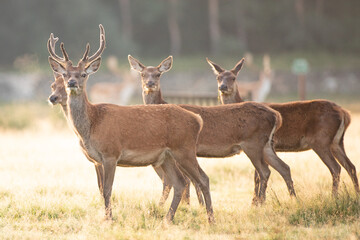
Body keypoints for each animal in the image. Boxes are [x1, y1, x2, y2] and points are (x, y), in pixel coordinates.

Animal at [47, 24, 214, 223]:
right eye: (64, 74)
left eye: (83, 74)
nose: (72, 83)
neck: (92, 125)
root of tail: (197, 119)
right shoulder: (96, 160)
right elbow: (101, 189)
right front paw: (106, 217)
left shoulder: (111, 153)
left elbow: (108, 189)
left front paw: (109, 219)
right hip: (167, 156)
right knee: (180, 183)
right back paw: (167, 219)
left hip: (184, 149)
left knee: (202, 179)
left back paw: (210, 219)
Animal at [128, 54, 296, 204]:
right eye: (142, 74)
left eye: (158, 74)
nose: (150, 83)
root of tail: (276, 115)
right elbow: (191, 181)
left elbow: (185, 181)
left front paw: (188, 206)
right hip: (266, 145)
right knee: (284, 167)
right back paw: (293, 200)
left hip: (253, 143)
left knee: (264, 171)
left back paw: (260, 203)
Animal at [207, 57, 358, 196]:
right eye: (218, 77)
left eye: (233, 78)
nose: (223, 87)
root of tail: (344, 113)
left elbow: (257, 176)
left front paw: (256, 201)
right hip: (337, 141)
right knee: (351, 166)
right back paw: (356, 194)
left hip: (321, 140)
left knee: (336, 168)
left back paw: (334, 197)